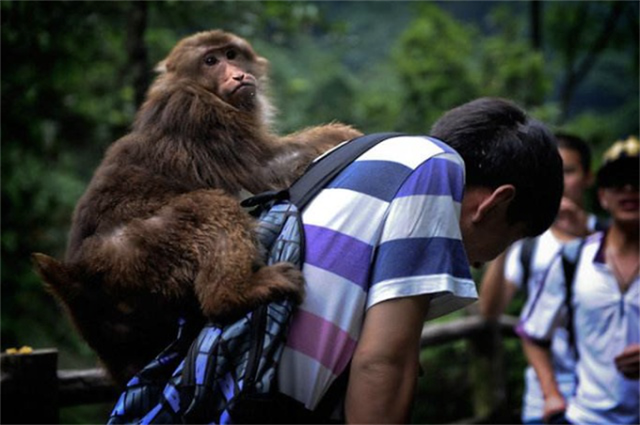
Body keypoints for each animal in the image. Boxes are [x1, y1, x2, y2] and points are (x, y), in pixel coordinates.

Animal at [31, 30, 360, 384]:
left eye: (231, 54)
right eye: (211, 61)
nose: (237, 74)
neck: (197, 87)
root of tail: (78, 275)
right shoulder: (198, 112)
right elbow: (270, 167)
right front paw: (351, 135)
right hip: (139, 252)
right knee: (209, 205)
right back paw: (232, 295)